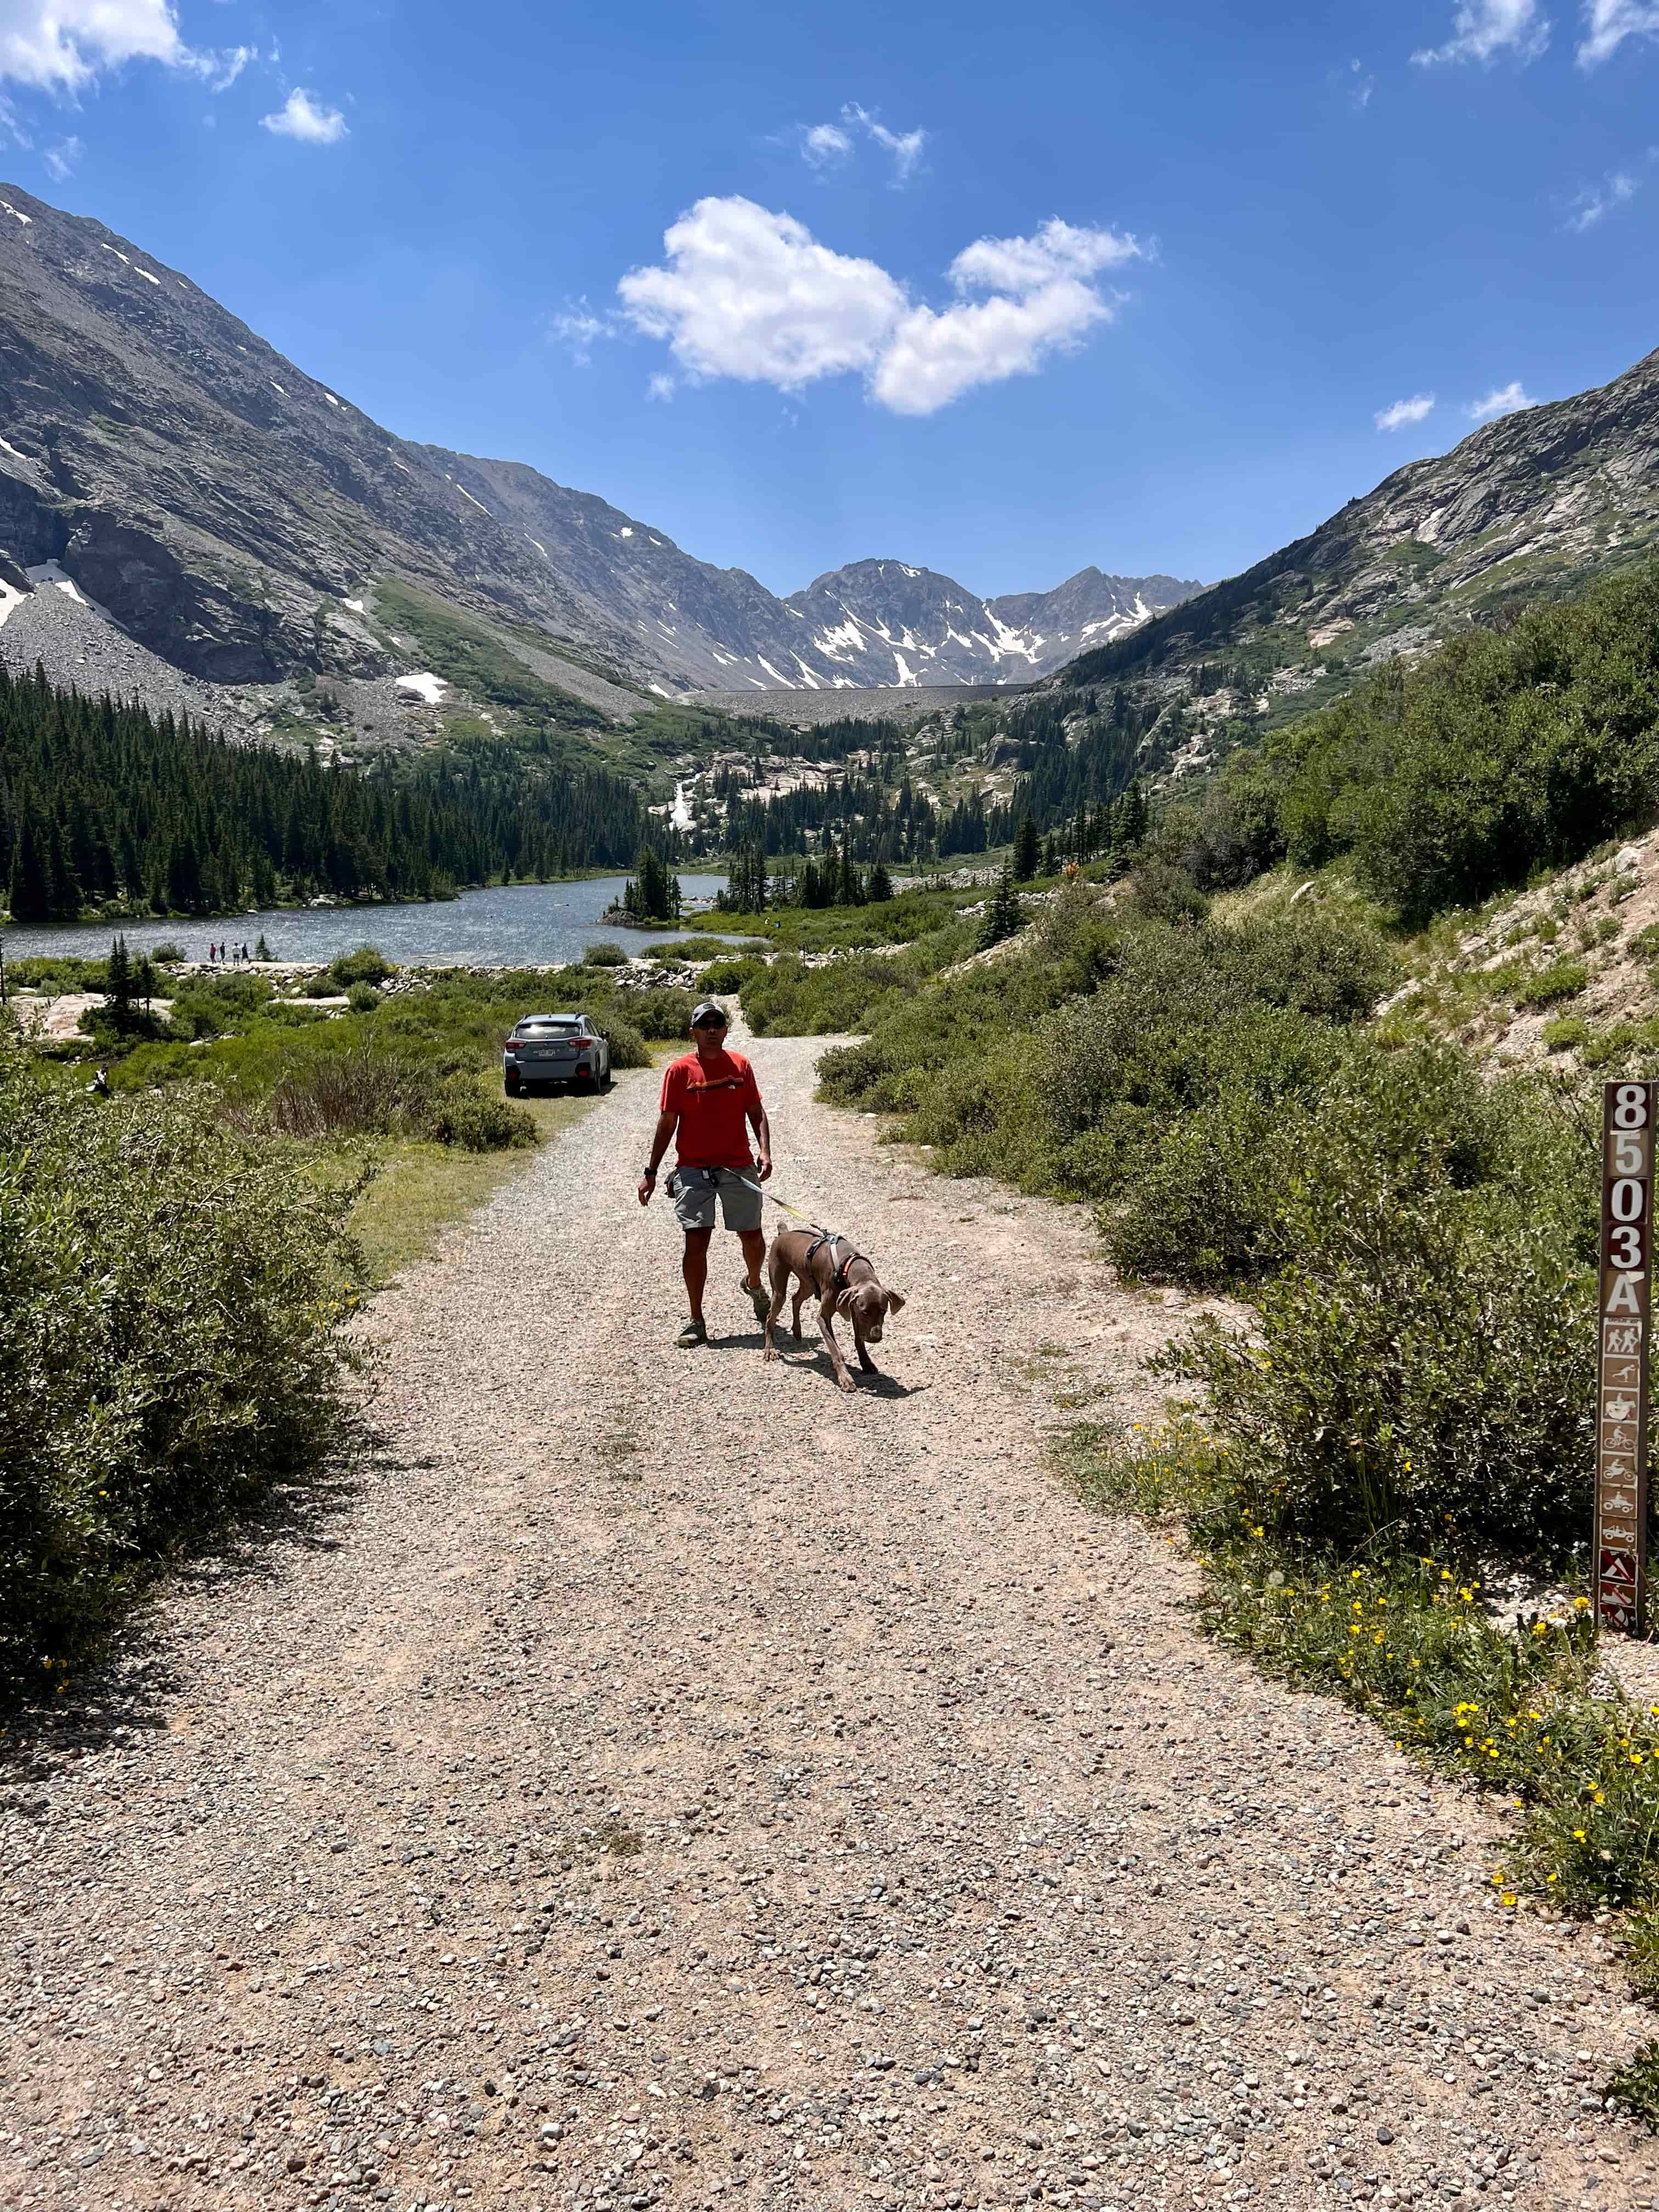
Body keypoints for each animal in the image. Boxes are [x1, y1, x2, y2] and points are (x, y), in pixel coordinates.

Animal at [765, 1221, 911, 1389]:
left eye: (883, 1311)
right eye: (865, 1312)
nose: (875, 1338)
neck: (847, 1265)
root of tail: (784, 1233)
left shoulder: (852, 1309)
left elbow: (859, 1341)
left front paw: (867, 1363)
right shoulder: (824, 1317)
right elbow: (836, 1350)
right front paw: (845, 1378)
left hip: (808, 1284)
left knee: (796, 1299)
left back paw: (797, 1330)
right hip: (779, 1289)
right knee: (771, 1316)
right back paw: (770, 1350)